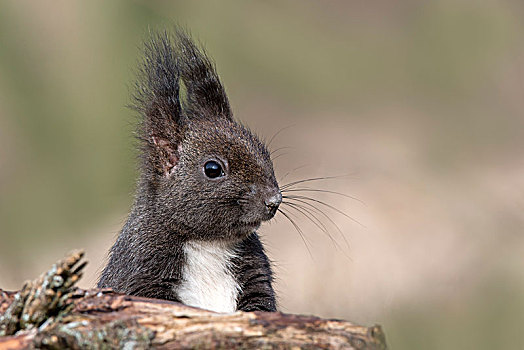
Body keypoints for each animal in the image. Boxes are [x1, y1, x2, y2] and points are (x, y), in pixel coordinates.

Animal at [96, 30, 280, 314]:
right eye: (213, 169)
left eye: (265, 152)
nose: (274, 200)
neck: (209, 245)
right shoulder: (140, 271)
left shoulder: (255, 276)